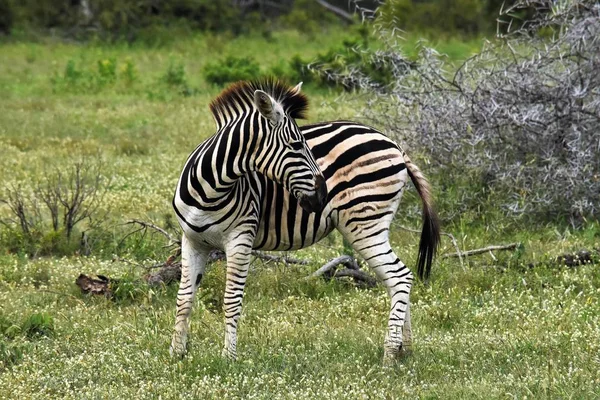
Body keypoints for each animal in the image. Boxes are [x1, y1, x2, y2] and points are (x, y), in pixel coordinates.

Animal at [171, 79, 438, 364]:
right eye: (297, 145)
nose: (322, 196)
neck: (210, 190)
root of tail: (395, 145)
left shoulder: (240, 241)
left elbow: (232, 300)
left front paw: (228, 357)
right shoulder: (192, 241)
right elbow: (184, 299)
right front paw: (177, 353)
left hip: (365, 224)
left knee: (400, 277)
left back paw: (389, 356)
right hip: (373, 225)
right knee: (395, 280)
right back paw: (404, 350)